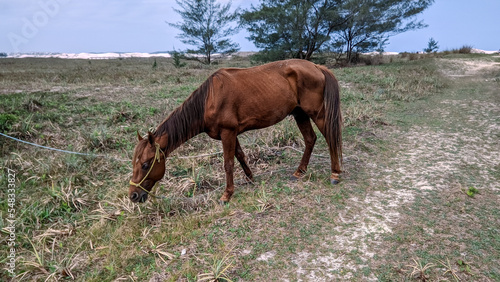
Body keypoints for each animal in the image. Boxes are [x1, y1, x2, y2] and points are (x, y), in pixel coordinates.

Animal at [128, 59, 344, 203]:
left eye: (146, 164)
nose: (133, 195)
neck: (209, 100)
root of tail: (317, 67)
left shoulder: (227, 133)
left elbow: (228, 164)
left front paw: (227, 194)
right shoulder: (231, 133)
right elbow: (240, 155)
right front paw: (250, 178)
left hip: (317, 114)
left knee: (330, 138)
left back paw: (335, 174)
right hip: (300, 114)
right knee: (310, 139)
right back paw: (299, 171)